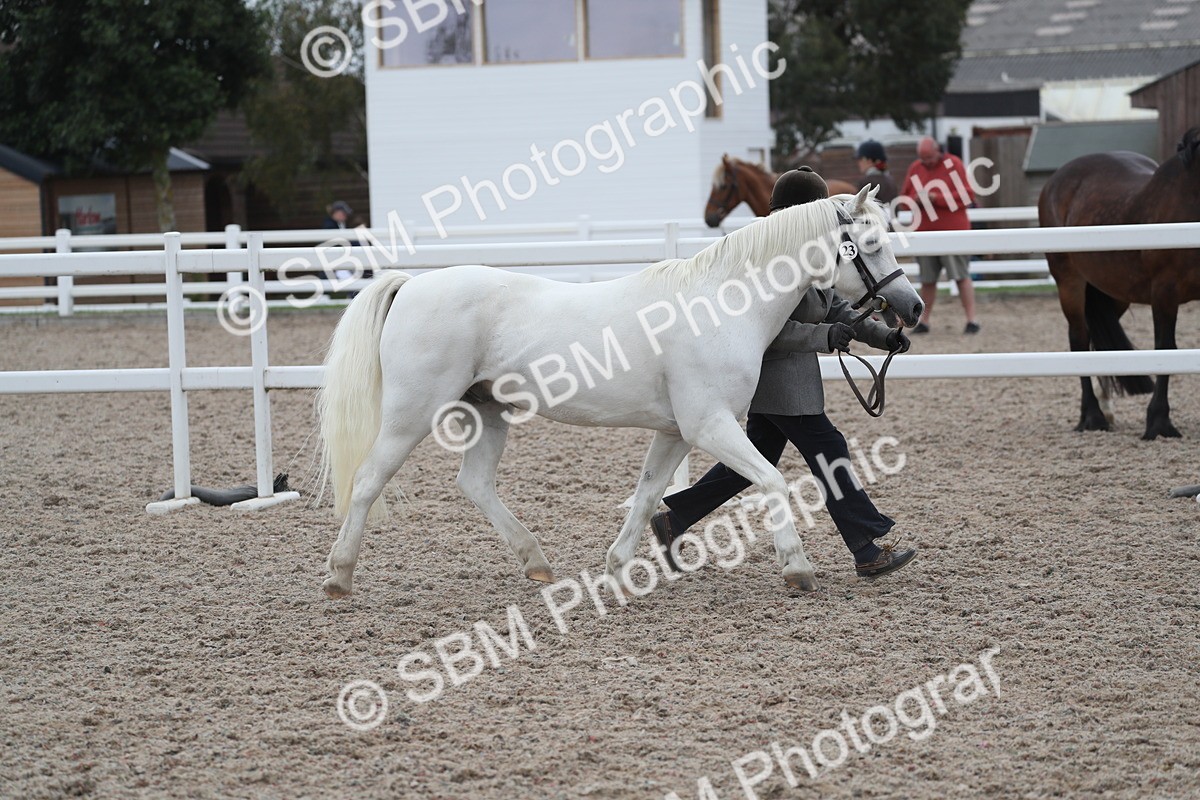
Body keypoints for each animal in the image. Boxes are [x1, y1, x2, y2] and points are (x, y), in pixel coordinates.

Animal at [317, 186, 923, 599]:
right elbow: (773, 480)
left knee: (475, 483)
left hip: (489, 410)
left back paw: (536, 560)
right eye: (869, 244)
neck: (723, 303)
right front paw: (797, 568)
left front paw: (618, 568)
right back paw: (339, 576)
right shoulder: (709, 425)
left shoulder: (677, 431)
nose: (911, 308)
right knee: (368, 481)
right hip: (411, 414)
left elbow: (650, 494)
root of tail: (411, 284)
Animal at [1039, 127, 1200, 440]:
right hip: (1069, 282)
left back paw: (1106, 410)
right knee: (1079, 339)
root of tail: (1056, 179)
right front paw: (1158, 422)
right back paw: (1092, 416)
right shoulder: (1165, 291)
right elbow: (1165, 348)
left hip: (1115, 293)